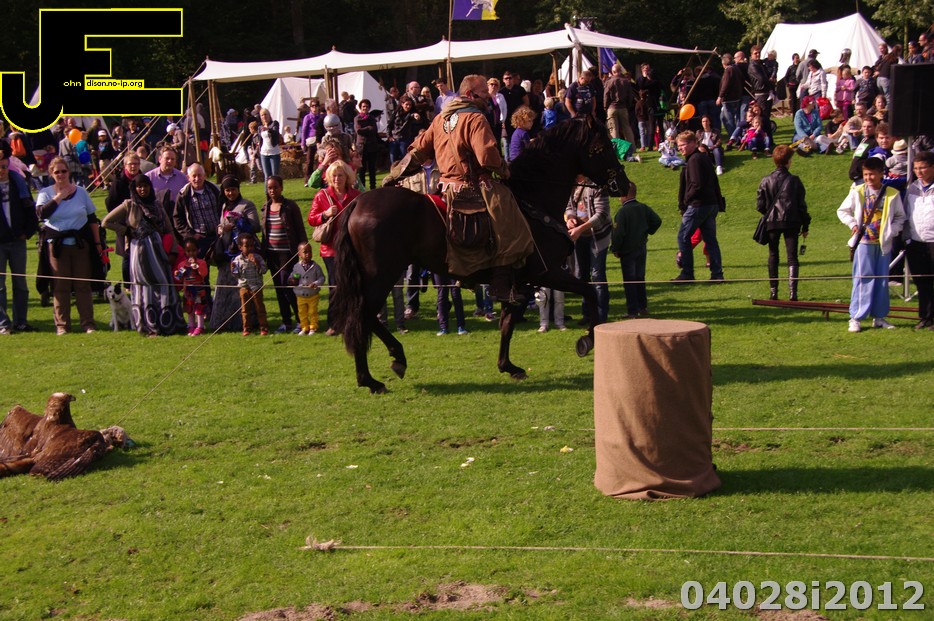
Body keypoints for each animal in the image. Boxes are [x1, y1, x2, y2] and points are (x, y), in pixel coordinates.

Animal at [330, 118, 629, 393]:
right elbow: (589, 291)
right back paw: (380, 371)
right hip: (382, 275)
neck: (533, 199)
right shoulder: (546, 272)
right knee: (364, 315)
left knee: (362, 318)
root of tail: (357, 203)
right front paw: (587, 340)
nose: (624, 183)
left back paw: (376, 372)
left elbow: (508, 323)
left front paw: (508, 366)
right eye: (602, 147)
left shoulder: (518, 282)